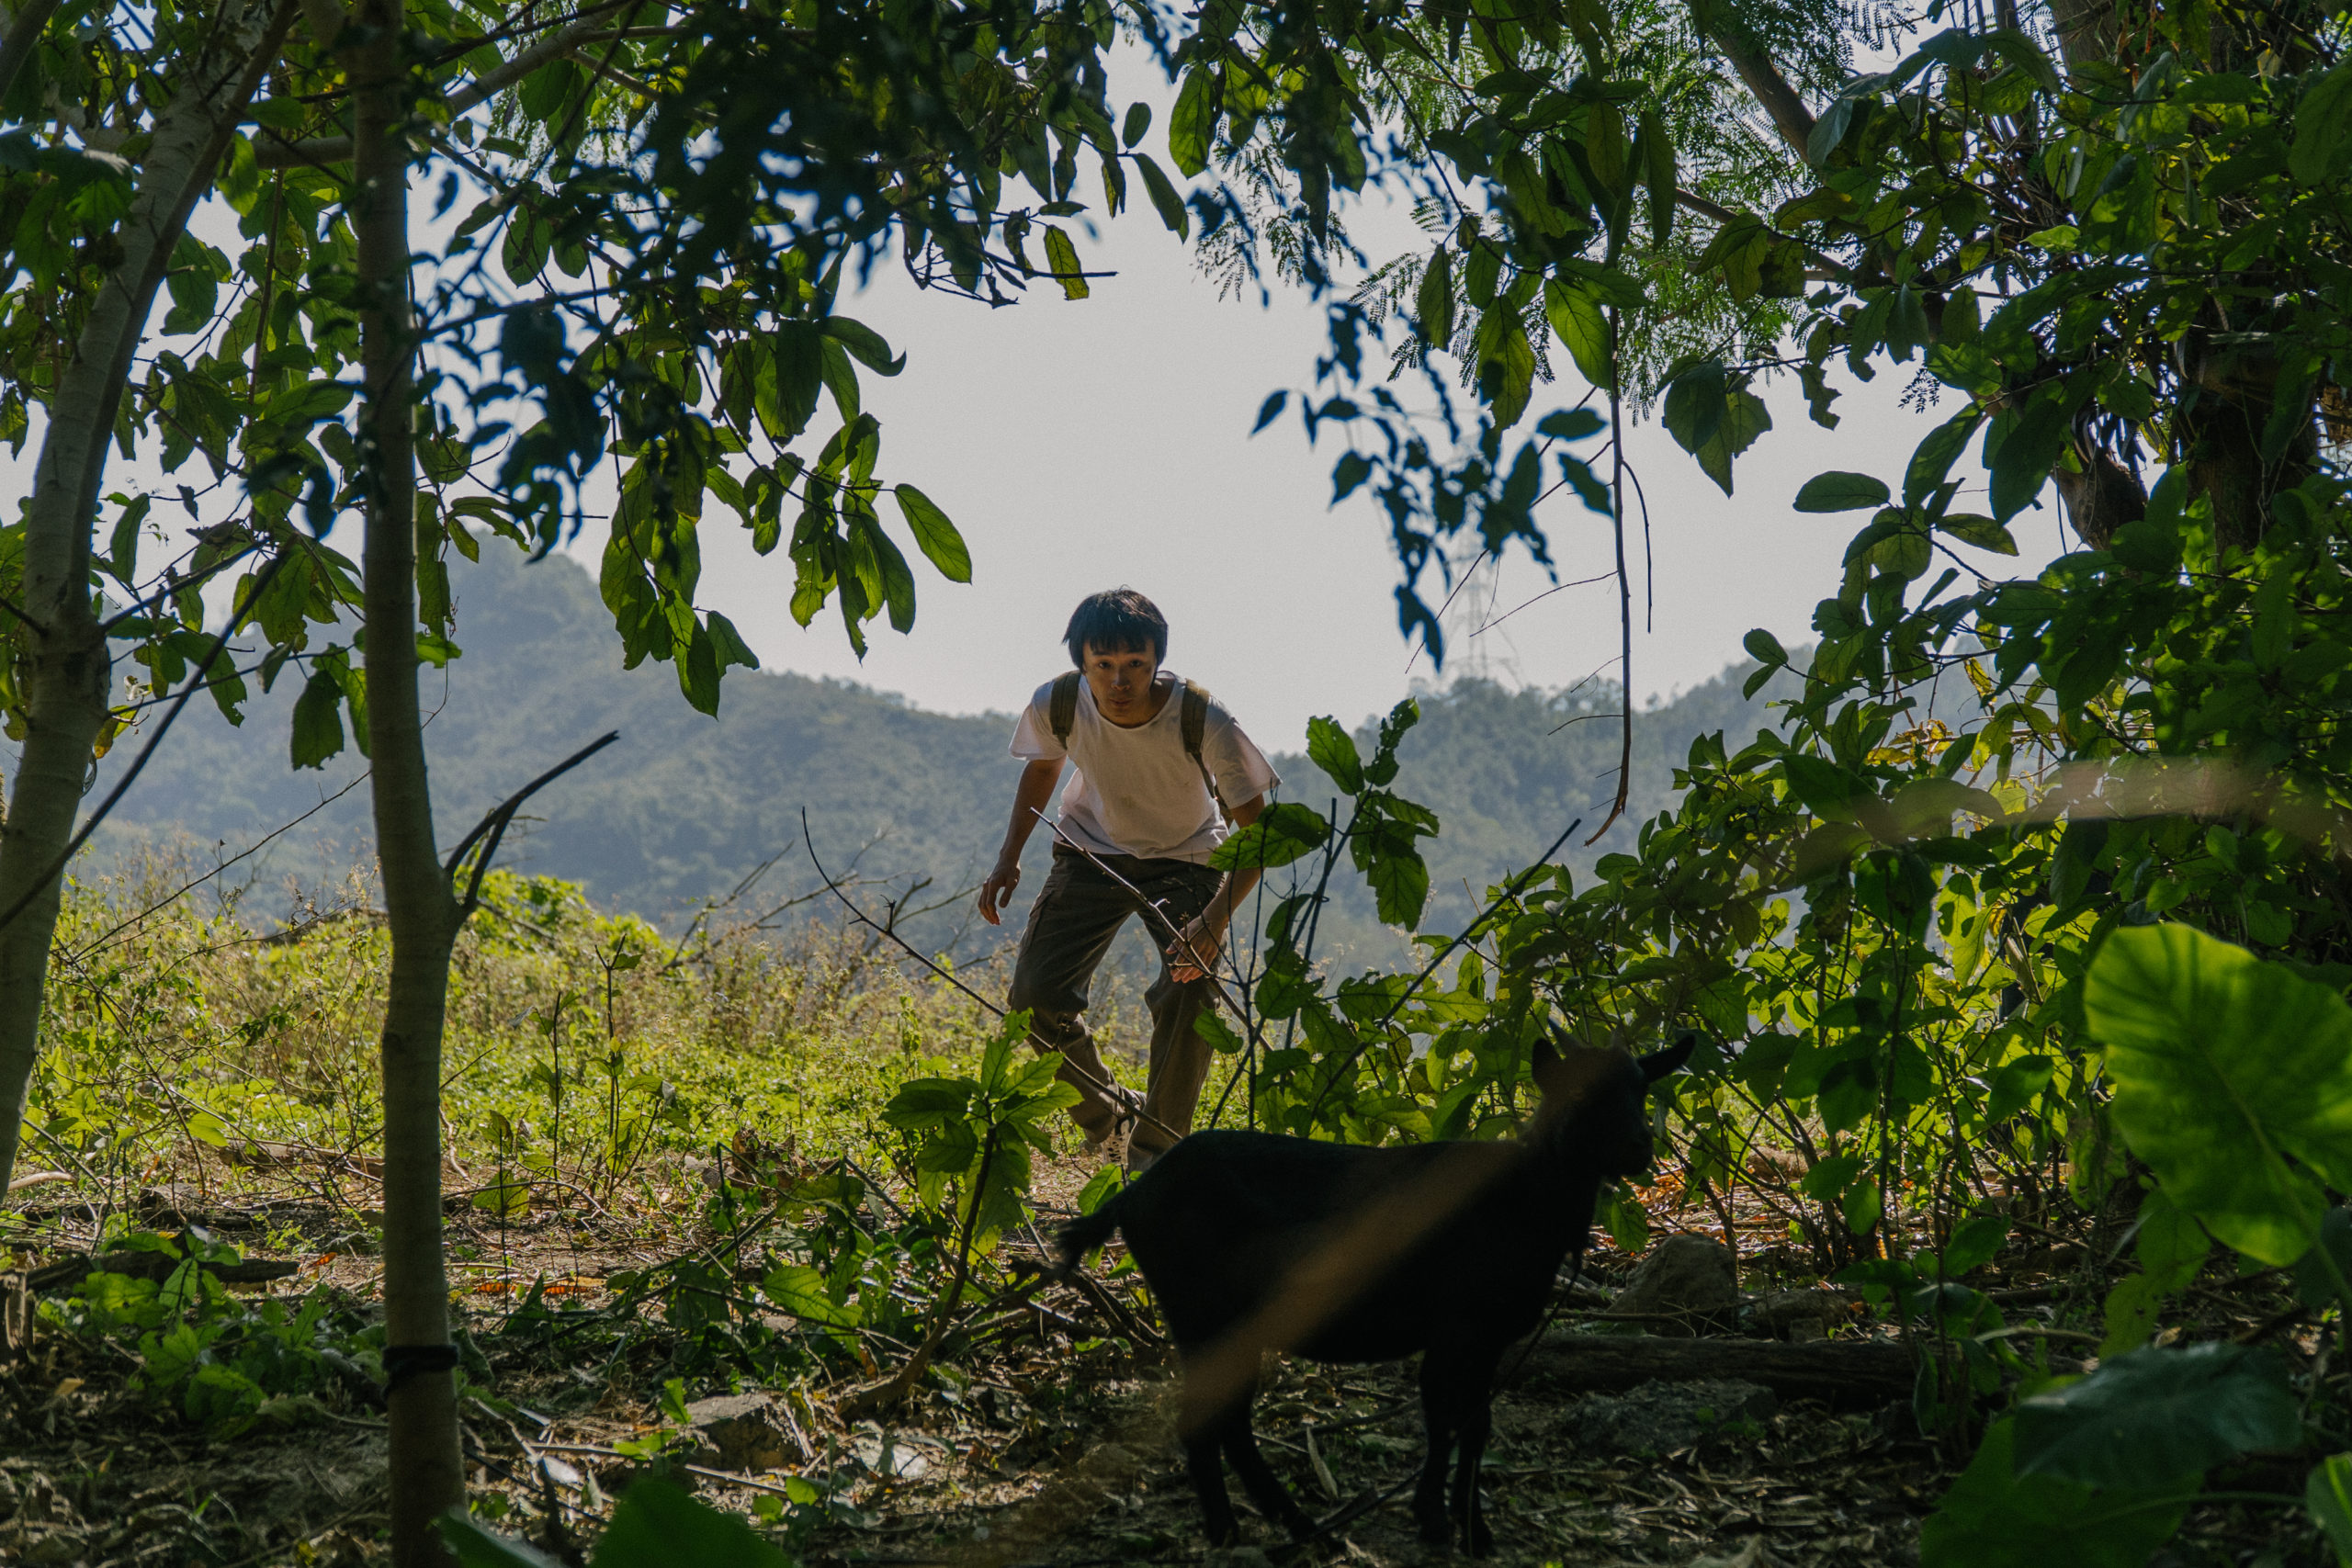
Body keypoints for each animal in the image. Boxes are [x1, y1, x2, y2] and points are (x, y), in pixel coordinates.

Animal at [1053, 1029, 1693, 1561]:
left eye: (1641, 1088)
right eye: (1580, 1093)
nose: (1640, 1146)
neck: (1526, 1197)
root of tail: (1130, 1198)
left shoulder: (1486, 1338)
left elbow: (1472, 1424)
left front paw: (1464, 1527)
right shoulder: (1459, 1326)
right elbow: (1447, 1420)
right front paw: (1442, 1523)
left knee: (1224, 1421)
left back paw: (1277, 1525)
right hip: (1204, 1311)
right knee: (1213, 1420)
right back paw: (1252, 1528)